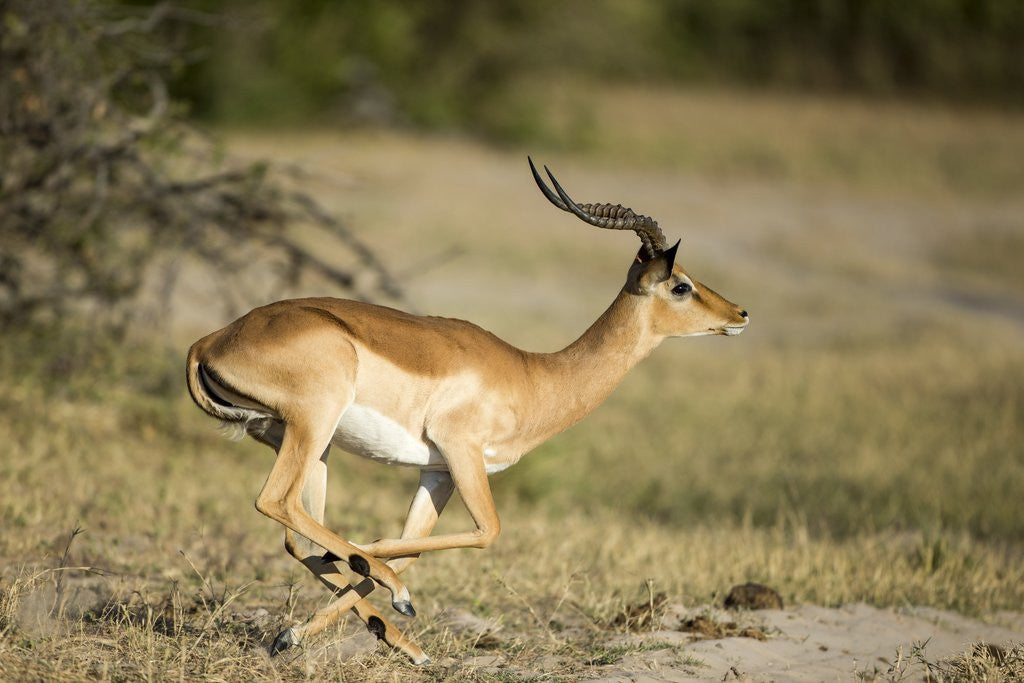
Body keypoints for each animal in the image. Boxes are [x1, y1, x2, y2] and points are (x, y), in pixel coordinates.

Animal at [185, 158, 748, 663]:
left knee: (297, 533)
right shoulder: (462, 452)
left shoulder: (437, 472)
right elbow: (485, 531)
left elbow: (414, 545)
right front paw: (378, 563)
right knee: (276, 502)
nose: (741, 314)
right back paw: (386, 590)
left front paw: (306, 629)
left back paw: (382, 635)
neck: (534, 376)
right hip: (314, 423)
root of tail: (213, 339)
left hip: (304, 442)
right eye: (681, 285)